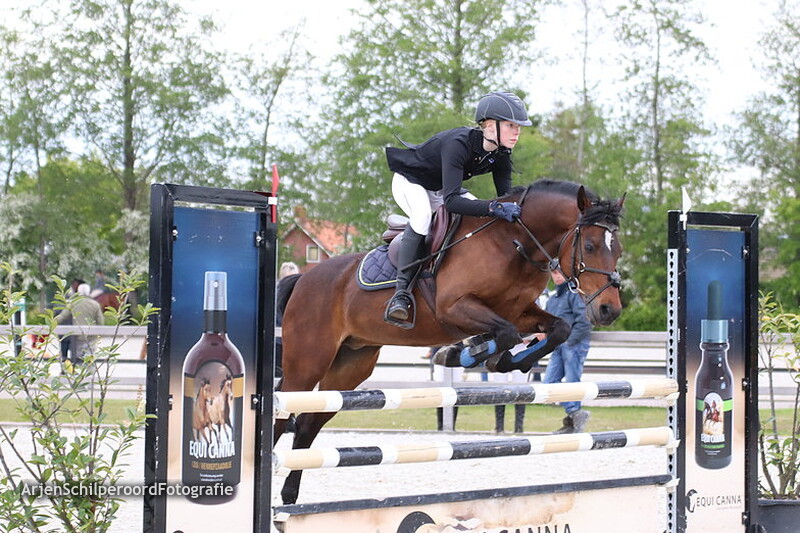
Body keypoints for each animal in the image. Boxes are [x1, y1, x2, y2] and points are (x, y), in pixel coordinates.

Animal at [275, 179, 626, 504]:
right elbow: (505, 335)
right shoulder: (455, 308)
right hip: (308, 363)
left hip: (350, 366)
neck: (512, 243)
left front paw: (500, 359)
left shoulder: (519, 312)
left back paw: (289, 495)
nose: (609, 310)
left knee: (306, 424)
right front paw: (465, 354)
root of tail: (304, 278)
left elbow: (558, 329)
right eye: (590, 246)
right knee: (282, 414)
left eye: (618, 250)